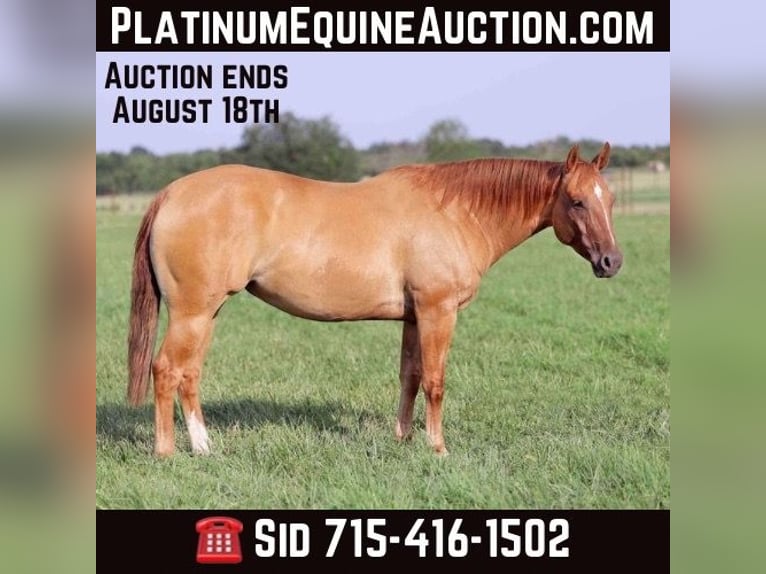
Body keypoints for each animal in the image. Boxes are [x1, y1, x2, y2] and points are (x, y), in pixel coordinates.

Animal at [127, 143, 622, 457]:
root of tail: (171, 193)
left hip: (207, 313)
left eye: (610, 199)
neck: (455, 212)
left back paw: (204, 448)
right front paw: (437, 448)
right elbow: (435, 381)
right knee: (166, 370)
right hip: (193, 313)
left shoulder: (414, 317)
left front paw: (403, 440)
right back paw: (167, 452)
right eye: (577, 201)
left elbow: (410, 376)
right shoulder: (438, 311)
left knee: (189, 374)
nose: (611, 261)